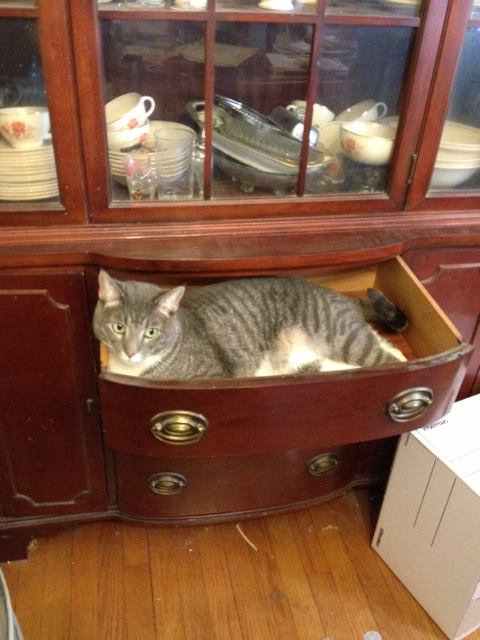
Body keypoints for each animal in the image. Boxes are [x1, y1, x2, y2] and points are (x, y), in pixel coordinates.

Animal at [94, 270, 408, 380]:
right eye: (119, 327)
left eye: (151, 332)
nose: (131, 352)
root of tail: (340, 296)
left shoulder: (213, 376)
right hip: (312, 361)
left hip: (345, 339)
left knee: (386, 359)